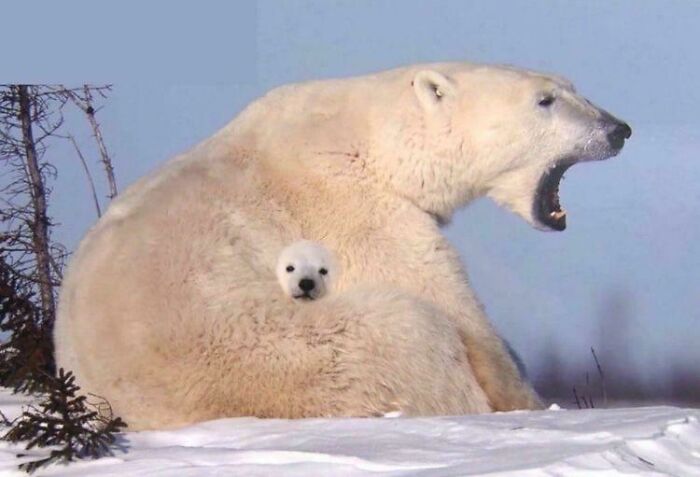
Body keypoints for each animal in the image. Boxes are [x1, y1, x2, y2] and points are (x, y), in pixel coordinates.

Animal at [53, 62, 631, 430]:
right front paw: (531, 404)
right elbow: (453, 309)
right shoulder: (353, 208)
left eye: (571, 86)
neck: (373, 139)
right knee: (411, 329)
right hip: (290, 356)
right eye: (545, 100)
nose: (618, 128)